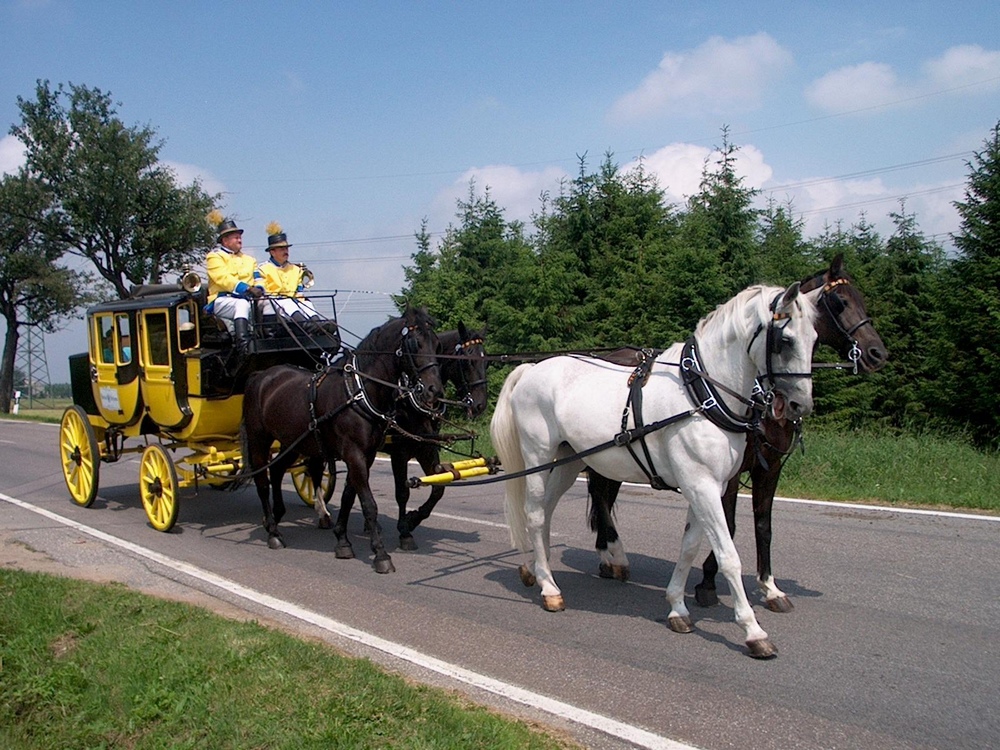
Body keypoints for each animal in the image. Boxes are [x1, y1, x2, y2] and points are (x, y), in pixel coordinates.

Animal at [238, 308, 442, 572]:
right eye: (415, 344)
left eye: (437, 343)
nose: (434, 391)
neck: (358, 392)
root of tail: (260, 376)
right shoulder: (355, 453)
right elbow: (368, 503)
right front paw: (381, 554)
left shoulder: (367, 455)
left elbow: (348, 496)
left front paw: (342, 541)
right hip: (259, 439)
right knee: (262, 481)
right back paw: (273, 532)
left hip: (292, 442)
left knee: (277, 471)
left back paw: (278, 515)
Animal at [340, 324, 488, 552]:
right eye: (467, 361)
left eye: (487, 361)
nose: (480, 404)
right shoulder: (400, 452)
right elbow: (402, 492)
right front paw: (405, 530)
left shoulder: (426, 447)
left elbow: (438, 488)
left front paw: (412, 520)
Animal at [488, 282, 816, 656]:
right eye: (785, 340)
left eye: (815, 337)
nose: (800, 405)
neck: (701, 396)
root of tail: (531, 369)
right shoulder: (703, 486)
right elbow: (728, 554)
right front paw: (753, 630)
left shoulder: (707, 486)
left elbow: (689, 546)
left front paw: (677, 607)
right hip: (538, 457)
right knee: (534, 514)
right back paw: (550, 589)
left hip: (570, 460)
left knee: (544, 512)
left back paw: (535, 570)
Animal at [588, 256, 888, 608]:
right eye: (841, 302)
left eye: (861, 298)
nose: (877, 353)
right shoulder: (727, 474)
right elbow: (728, 526)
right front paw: (707, 582)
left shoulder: (769, 468)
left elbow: (763, 524)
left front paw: (770, 587)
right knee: (600, 494)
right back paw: (614, 557)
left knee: (605, 494)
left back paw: (608, 553)